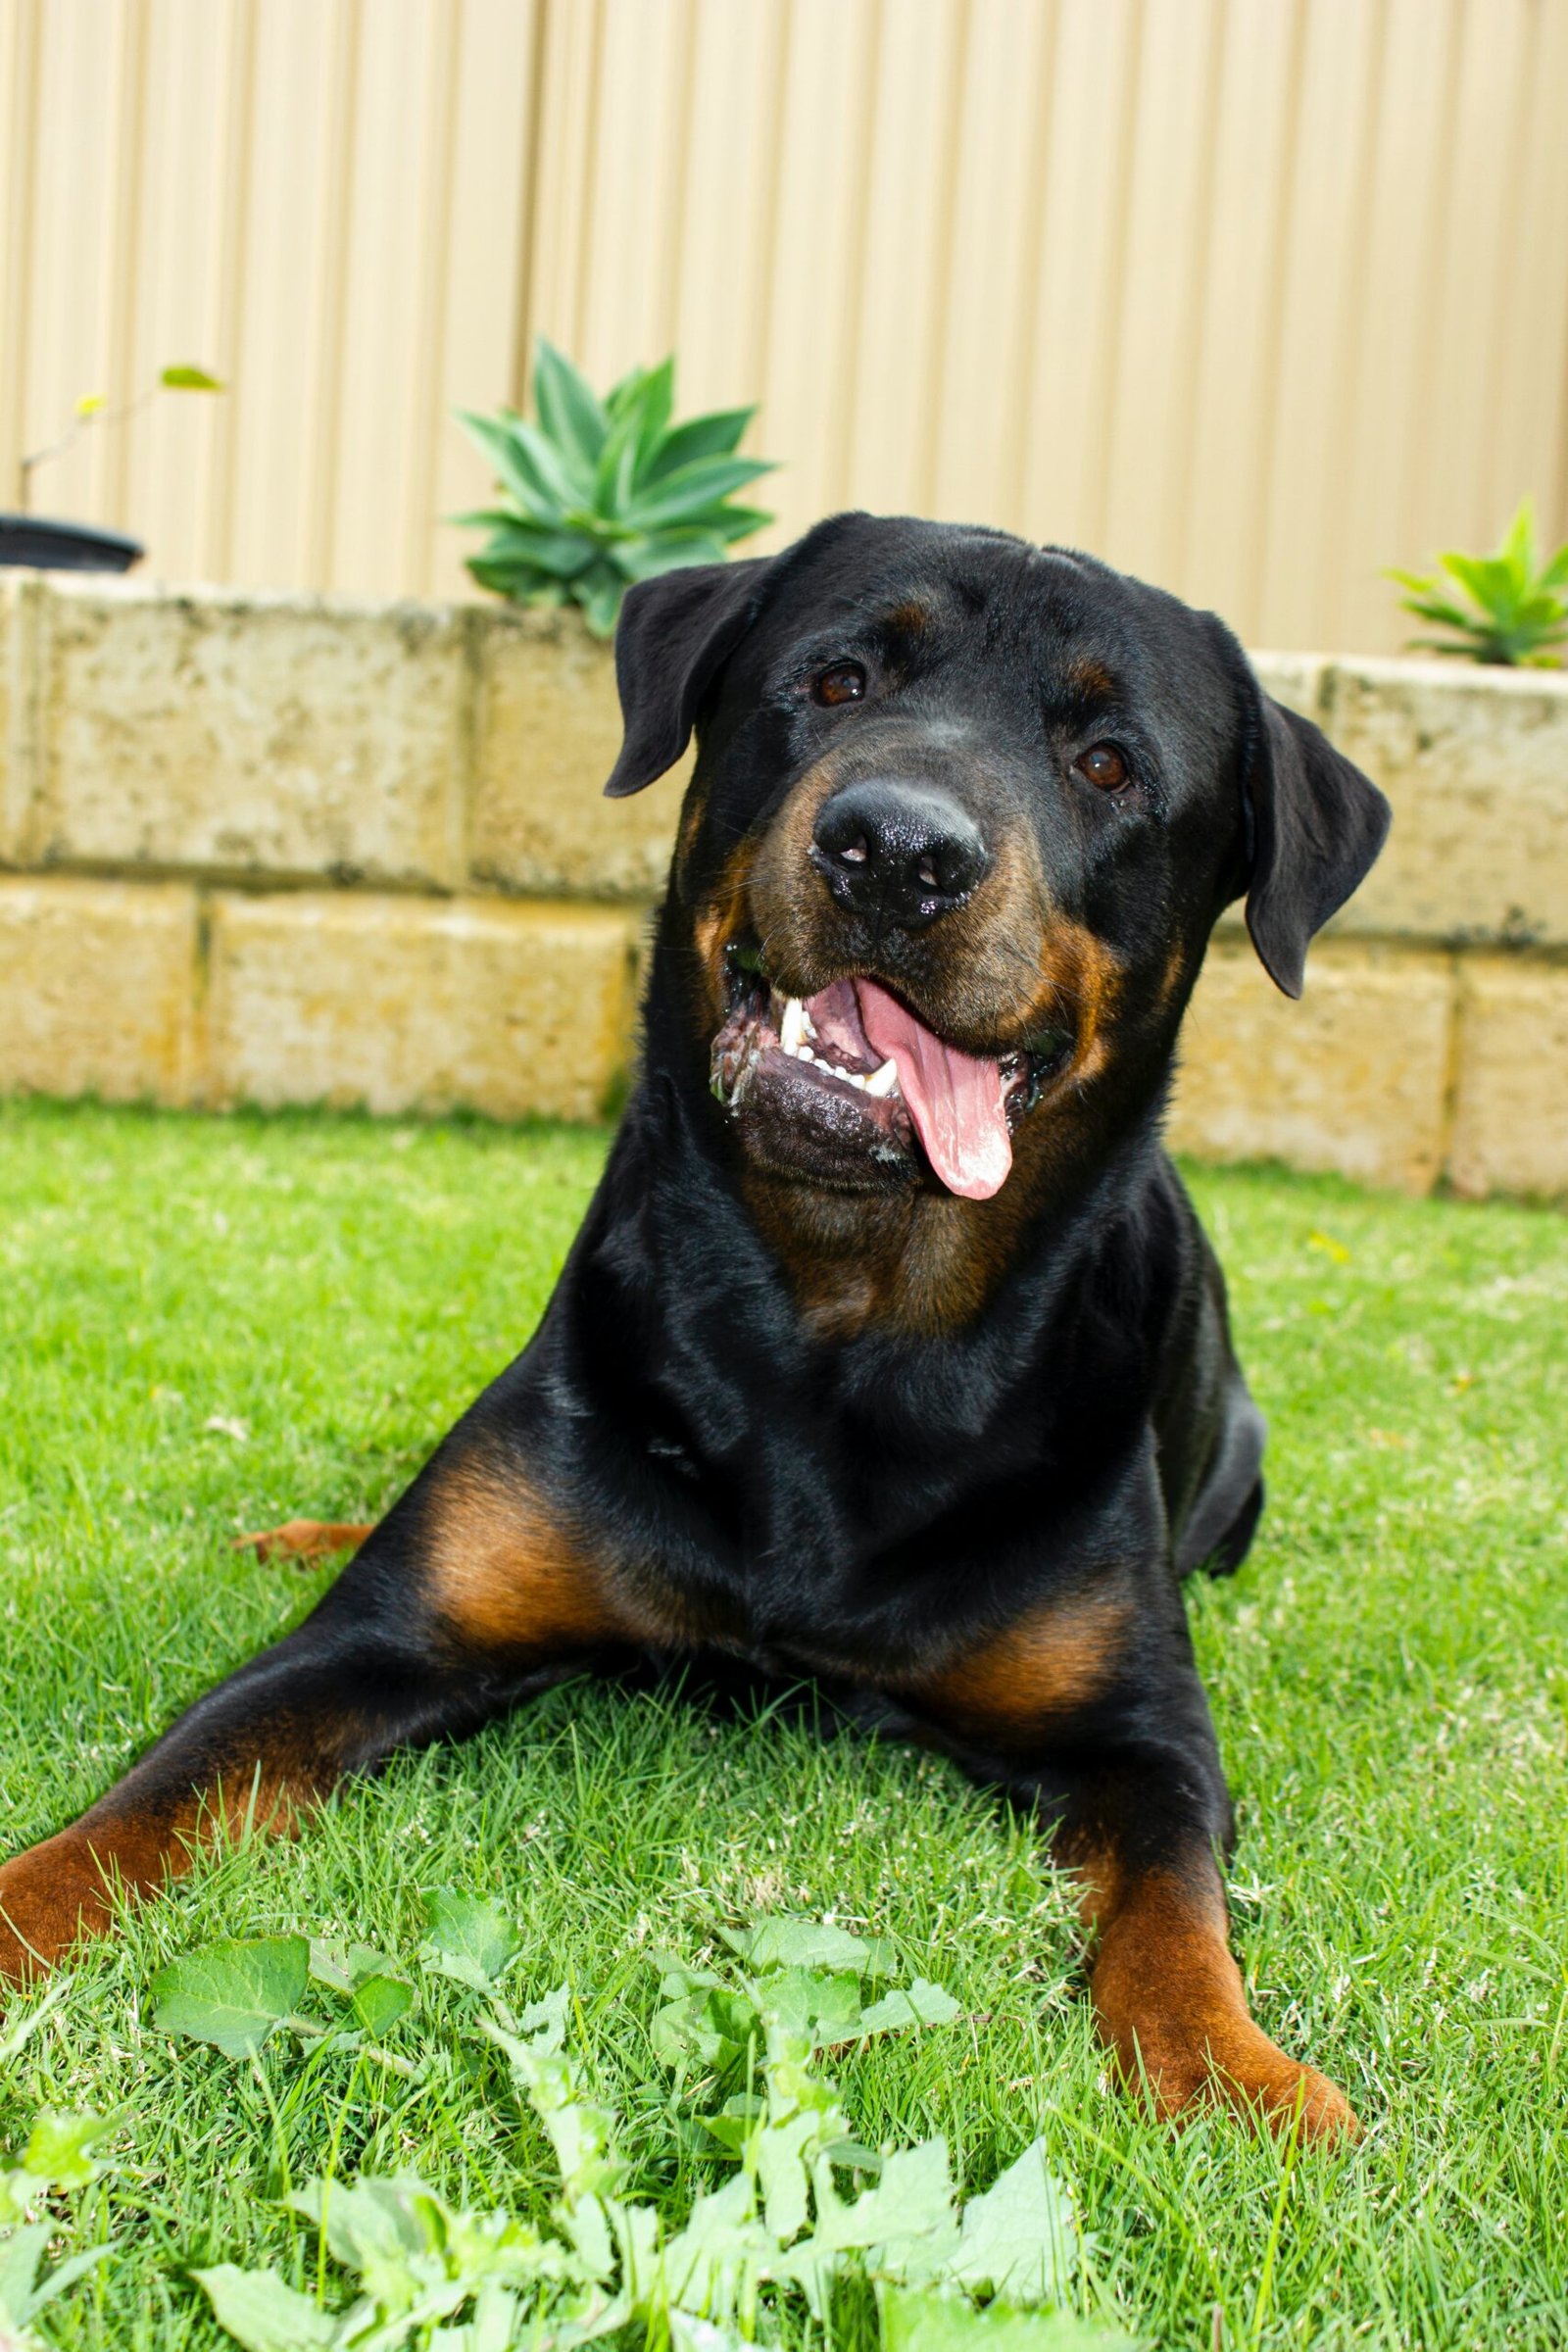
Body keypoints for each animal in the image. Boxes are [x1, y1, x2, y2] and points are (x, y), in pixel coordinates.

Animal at [6, 524, 1392, 2144]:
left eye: (1108, 763)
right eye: (836, 680)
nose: (896, 848)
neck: (832, 1328)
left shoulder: (1144, 1735)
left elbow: (1176, 1911)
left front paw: (1240, 2078)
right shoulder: (382, 1642)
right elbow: (149, 1802)